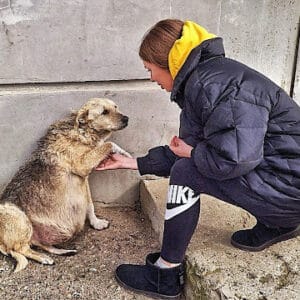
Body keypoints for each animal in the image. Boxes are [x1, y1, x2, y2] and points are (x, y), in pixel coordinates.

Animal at [0, 98, 131, 272]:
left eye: (116, 107)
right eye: (104, 112)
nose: (127, 119)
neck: (82, 131)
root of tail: (1, 242)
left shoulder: (84, 179)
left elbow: (90, 204)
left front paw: (96, 222)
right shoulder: (83, 165)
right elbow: (109, 143)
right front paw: (123, 153)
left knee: (37, 245)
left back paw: (62, 251)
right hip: (18, 217)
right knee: (19, 249)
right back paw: (43, 258)